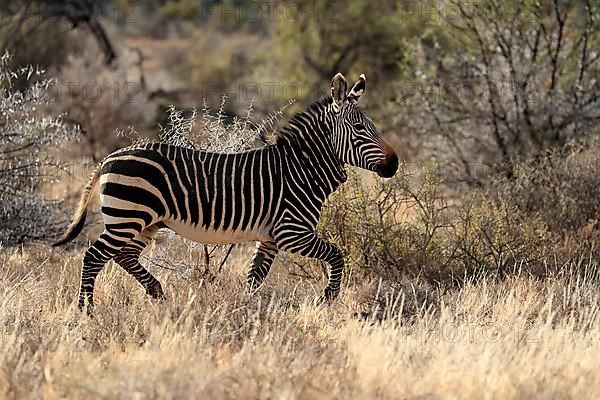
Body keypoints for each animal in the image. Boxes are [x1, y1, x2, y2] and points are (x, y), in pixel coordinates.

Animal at [52, 72, 398, 310]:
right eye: (359, 129)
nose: (394, 163)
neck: (300, 169)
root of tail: (110, 156)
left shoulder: (270, 237)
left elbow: (255, 278)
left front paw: (247, 310)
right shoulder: (291, 232)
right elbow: (337, 255)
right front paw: (327, 298)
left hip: (145, 222)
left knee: (123, 256)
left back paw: (157, 293)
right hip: (128, 216)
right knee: (94, 256)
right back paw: (86, 311)